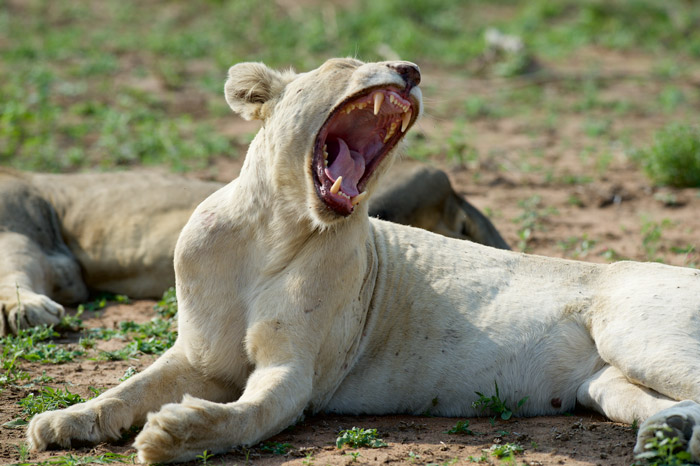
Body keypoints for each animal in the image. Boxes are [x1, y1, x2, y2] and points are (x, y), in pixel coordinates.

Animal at [27, 56, 700, 460]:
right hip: (607, 384)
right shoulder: (198, 355)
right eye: (343, 66)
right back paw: (667, 435)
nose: (410, 68)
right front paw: (62, 422)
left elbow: (247, 416)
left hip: (634, 332)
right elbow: (126, 387)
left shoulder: (295, 372)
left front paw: (174, 433)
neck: (271, 233)